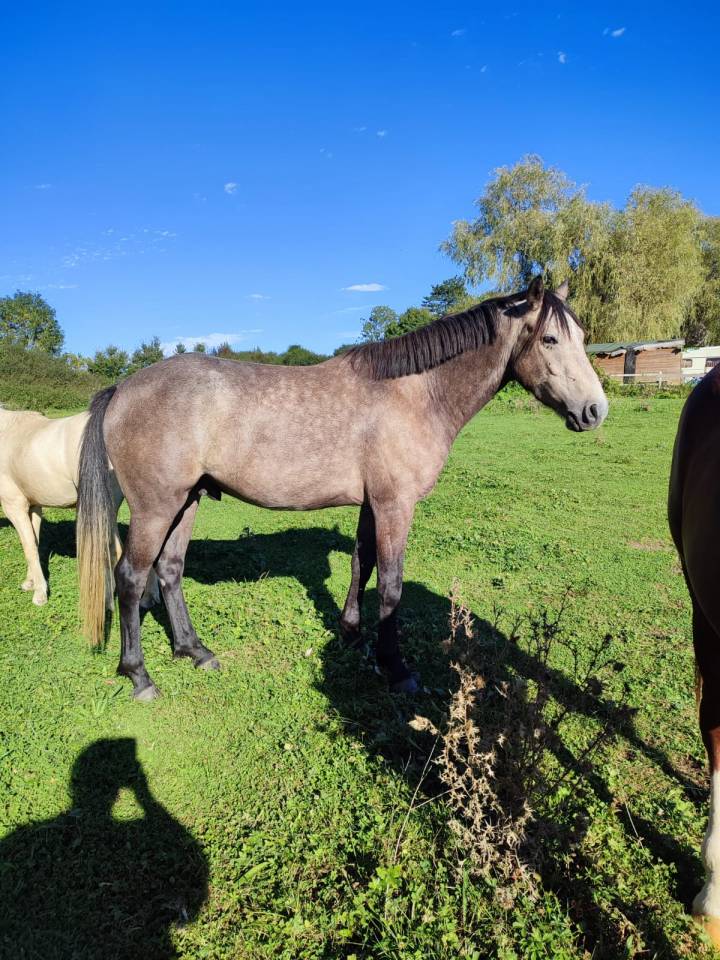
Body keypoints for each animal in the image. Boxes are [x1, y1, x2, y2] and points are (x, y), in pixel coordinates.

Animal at [0, 405, 159, 608]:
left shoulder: (14, 506)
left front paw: (40, 593)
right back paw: (148, 597)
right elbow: (34, 542)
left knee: (116, 551)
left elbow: (29, 548)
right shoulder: (34, 506)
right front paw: (30, 582)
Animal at [76, 275, 608, 702]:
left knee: (169, 571)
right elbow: (391, 586)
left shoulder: (373, 505)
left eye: (583, 337)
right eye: (551, 339)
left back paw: (194, 650)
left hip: (186, 500)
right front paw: (396, 669)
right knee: (130, 578)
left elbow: (361, 563)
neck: (415, 394)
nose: (595, 410)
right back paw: (139, 676)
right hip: (155, 507)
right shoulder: (396, 506)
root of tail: (122, 388)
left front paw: (352, 633)